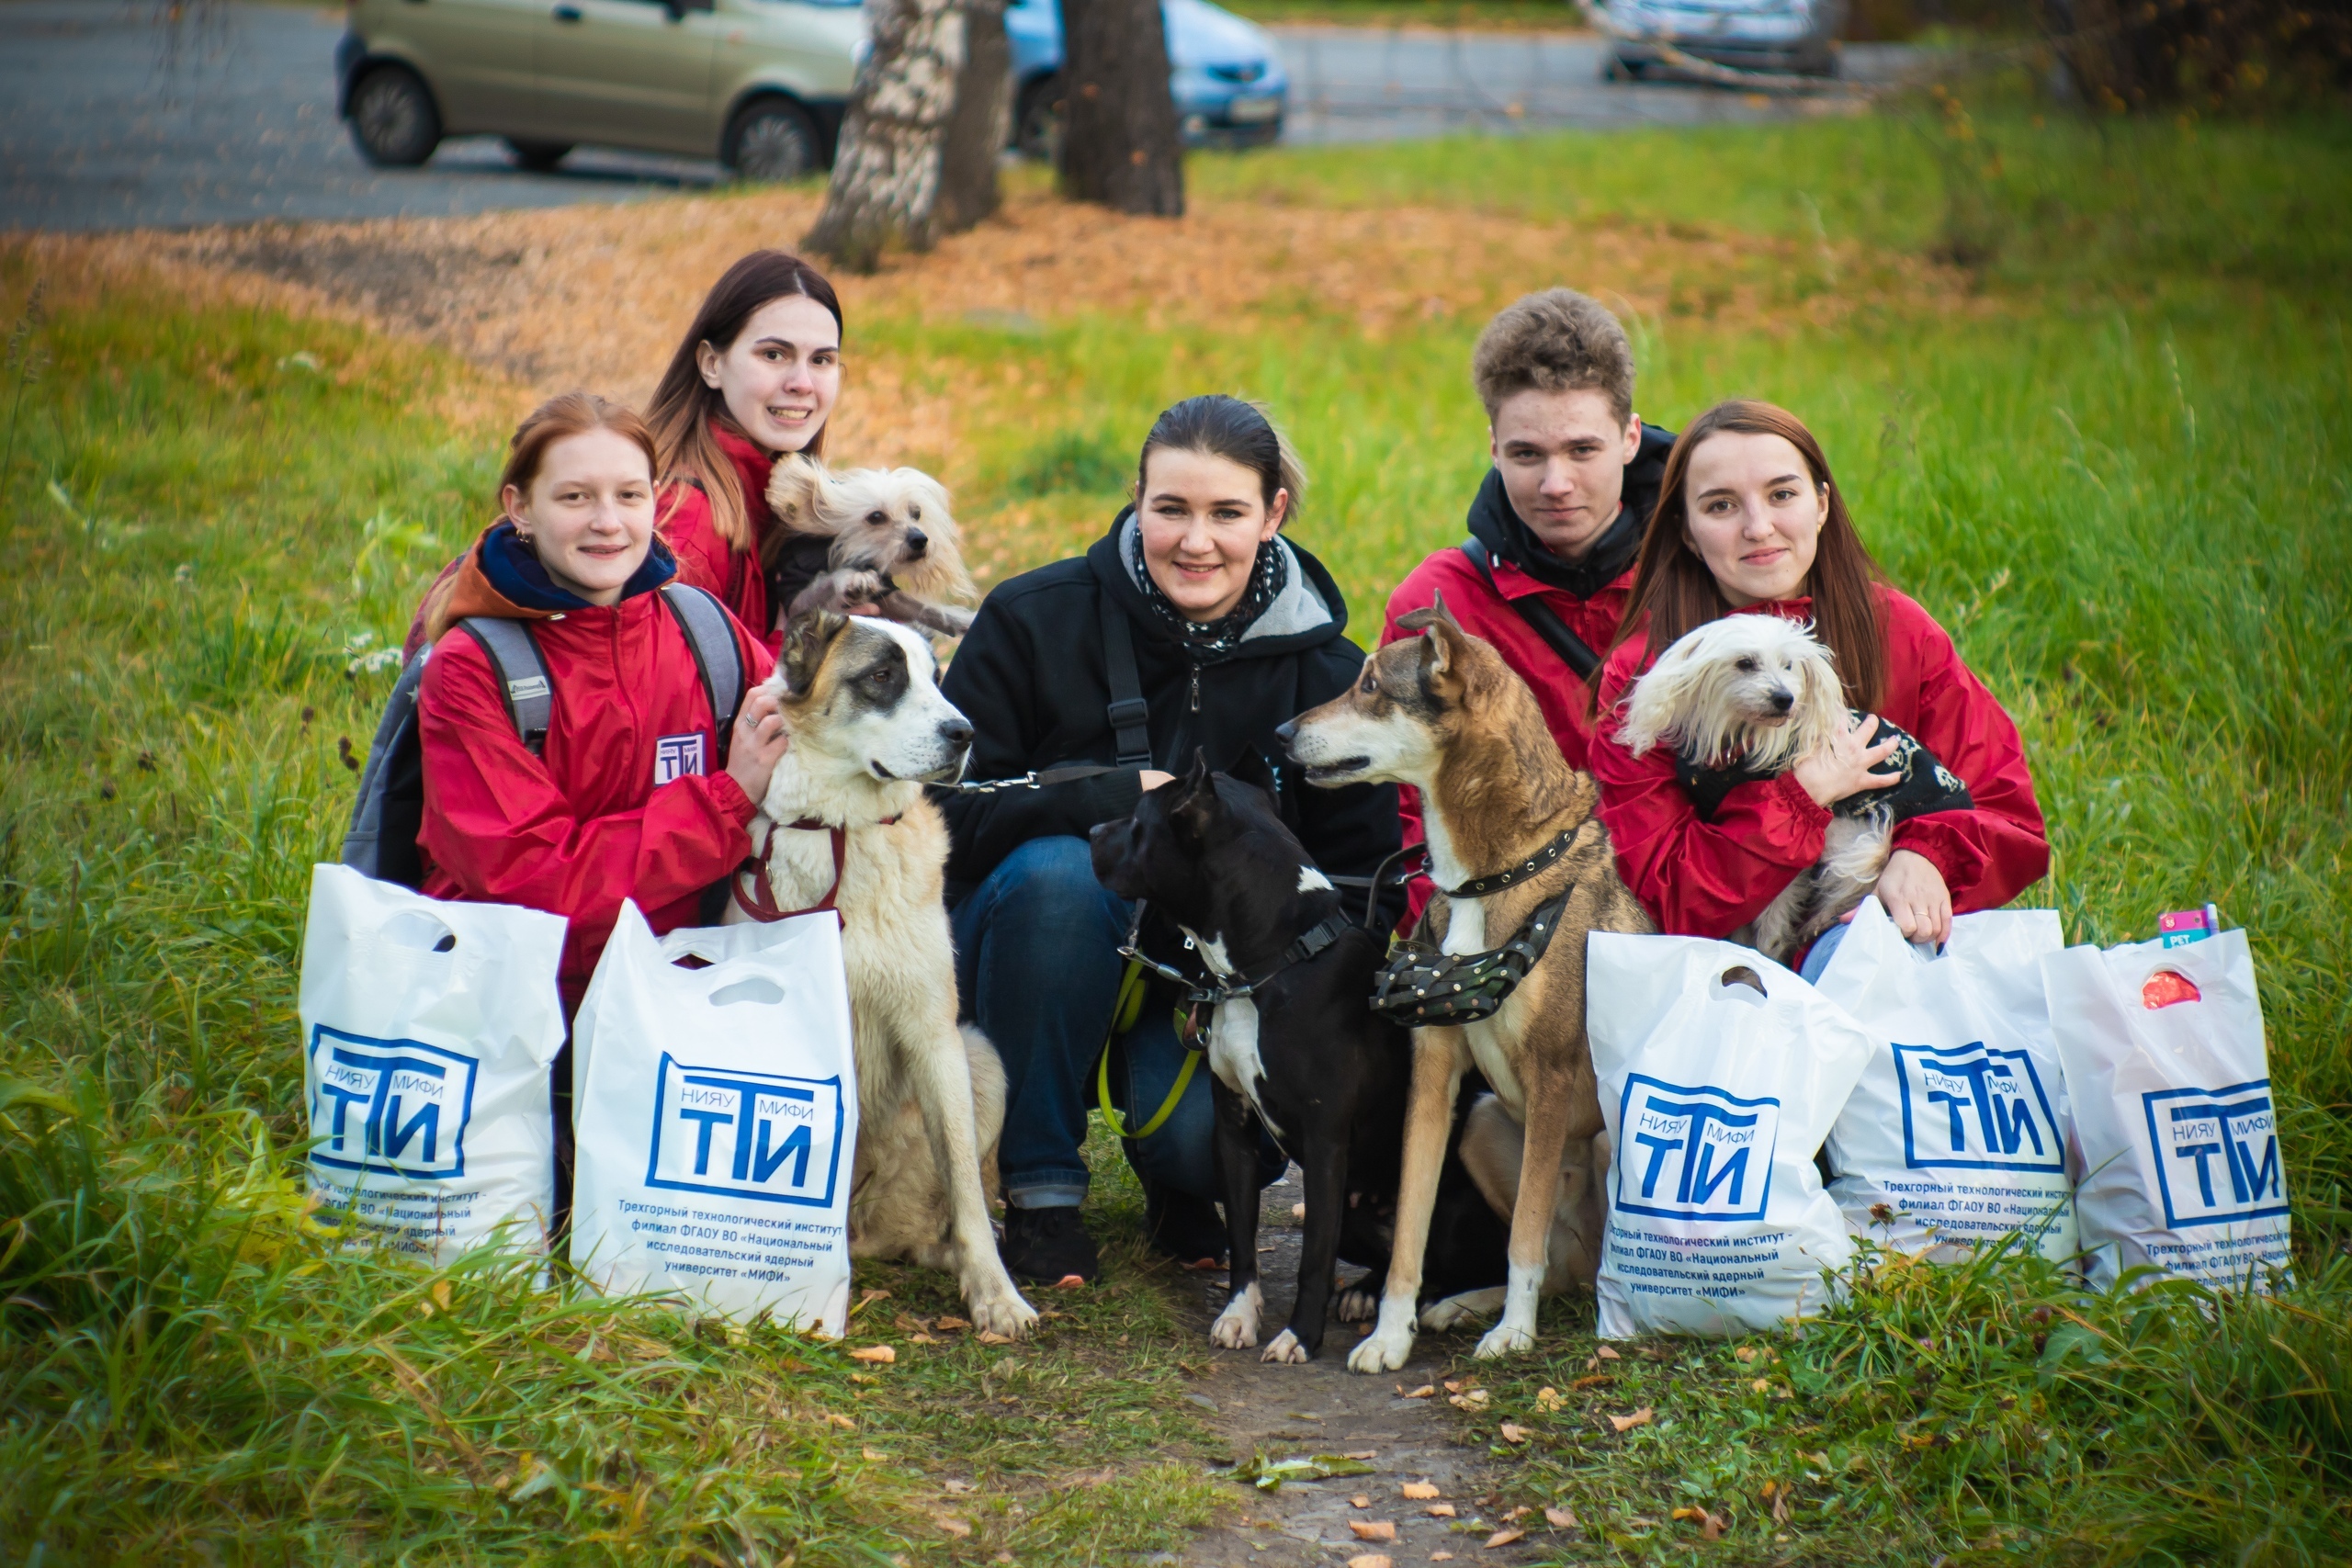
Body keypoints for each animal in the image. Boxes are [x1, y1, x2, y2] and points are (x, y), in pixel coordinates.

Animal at [724, 611, 1039, 1335]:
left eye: (935, 676)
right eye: (883, 675)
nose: (965, 733)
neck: (844, 829)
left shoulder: (934, 1035)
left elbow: (967, 1191)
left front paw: (996, 1294)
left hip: (981, 1055)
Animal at [766, 453, 978, 639]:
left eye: (916, 513)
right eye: (876, 516)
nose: (920, 539)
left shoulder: (888, 597)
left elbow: (926, 609)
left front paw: (965, 622)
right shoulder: (798, 604)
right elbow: (829, 580)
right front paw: (855, 580)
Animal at [1086, 757, 1505, 1363]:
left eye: (1138, 822)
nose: (1094, 829)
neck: (1271, 964)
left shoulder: (1326, 1141)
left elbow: (1313, 1257)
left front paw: (1299, 1336)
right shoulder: (1233, 1129)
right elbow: (1242, 1236)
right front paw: (1240, 1315)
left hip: (1444, 1211)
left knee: (1476, 1267)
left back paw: (1454, 1305)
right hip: (1361, 1210)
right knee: (1403, 1261)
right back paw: (1366, 1292)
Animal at [1279, 606, 1646, 1363]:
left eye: (1370, 685)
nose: (1280, 733)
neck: (1489, 877)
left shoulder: (1552, 1075)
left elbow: (1524, 1236)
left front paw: (1515, 1331)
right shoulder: (1434, 1070)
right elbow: (1410, 1231)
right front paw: (1391, 1333)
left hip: (1605, 1136)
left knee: (1564, 1254)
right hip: (1478, 1123)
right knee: (1561, 1264)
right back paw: (1461, 1304)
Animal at [1618, 615, 1966, 964]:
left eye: (1788, 665)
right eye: (1745, 663)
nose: (1785, 698)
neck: (1742, 740)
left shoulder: (1793, 866)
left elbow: (1773, 913)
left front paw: (1765, 954)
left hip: (1851, 837)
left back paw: (1818, 923)